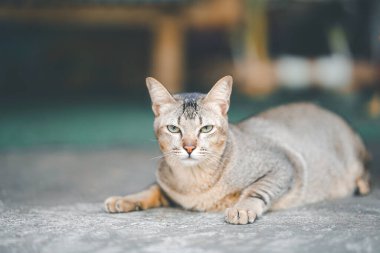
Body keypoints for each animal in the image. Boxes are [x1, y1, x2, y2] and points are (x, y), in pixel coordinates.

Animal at [103, 75, 368, 225]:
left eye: (206, 128)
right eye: (173, 129)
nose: (189, 147)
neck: (195, 183)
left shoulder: (284, 164)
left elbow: (257, 190)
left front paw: (242, 208)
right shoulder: (166, 185)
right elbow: (151, 189)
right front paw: (126, 199)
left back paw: (362, 183)